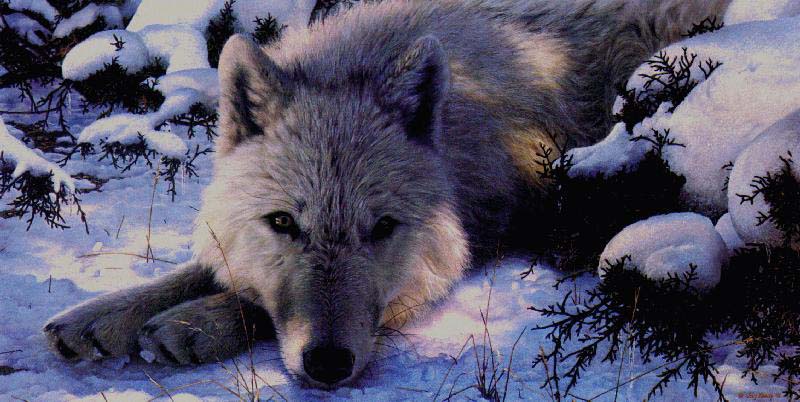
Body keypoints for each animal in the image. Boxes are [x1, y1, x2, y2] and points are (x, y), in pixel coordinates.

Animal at [44, 0, 730, 388]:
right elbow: (201, 268)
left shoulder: (492, 223)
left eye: (379, 229)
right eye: (283, 224)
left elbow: (254, 302)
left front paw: (194, 322)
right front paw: (102, 315)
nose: (327, 366)